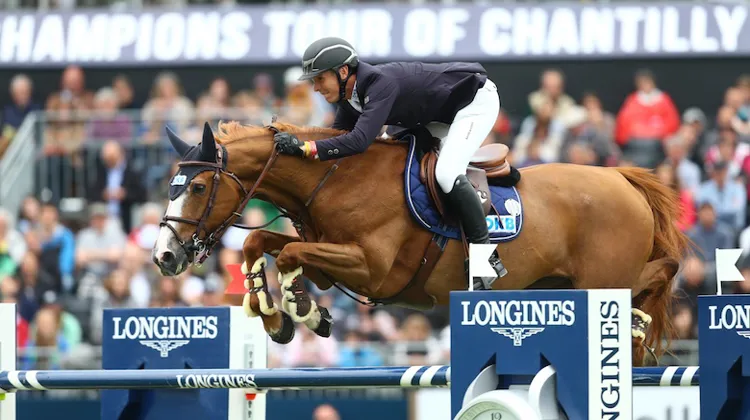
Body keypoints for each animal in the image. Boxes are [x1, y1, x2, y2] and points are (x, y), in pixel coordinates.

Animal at [152, 121, 690, 367]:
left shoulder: (371, 269)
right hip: (560, 286)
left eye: (197, 187)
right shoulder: (330, 259)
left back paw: (638, 325)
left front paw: (302, 310)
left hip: (602, 279)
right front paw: (279, 317)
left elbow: (287, 252)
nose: (164, 256)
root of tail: (621, 178)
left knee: (661, 271)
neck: (335, 178)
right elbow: (263, 244)